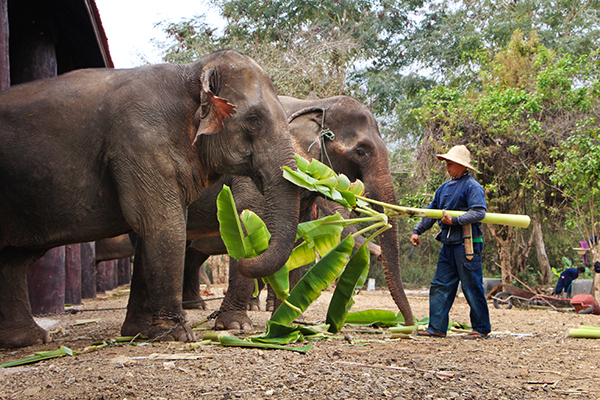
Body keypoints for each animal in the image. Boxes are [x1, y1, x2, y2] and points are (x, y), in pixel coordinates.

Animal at [0, 50, 300, 348]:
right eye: (254, 120)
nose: (246, 256)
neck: (191, 72)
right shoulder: (141, 142)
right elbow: (163, 225)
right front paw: (177, 335)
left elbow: (154, 230)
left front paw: (140, 332)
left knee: (15, 258)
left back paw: (28, 340)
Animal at [183, 95, 414, 330]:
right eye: (360, 151)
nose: (406, 323)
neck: (314, 104)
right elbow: (248, 216)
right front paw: (235, 326)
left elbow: (296, 235)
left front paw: (288, 322)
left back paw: (194, 305)